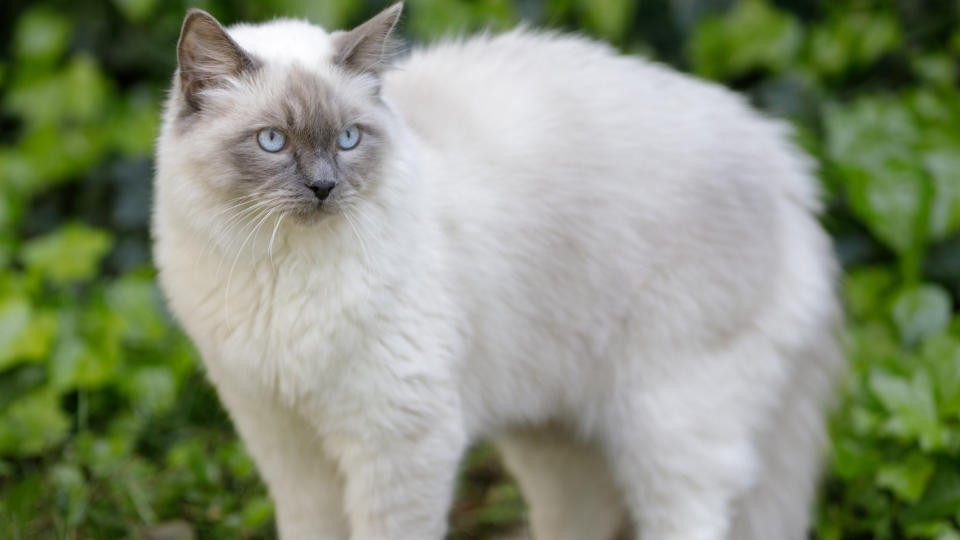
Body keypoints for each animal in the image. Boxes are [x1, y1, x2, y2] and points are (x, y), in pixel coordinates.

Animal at [154, 4, 844, 540]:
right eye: (272, 141)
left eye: (349, 138)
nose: (324, 188)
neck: (282, 270)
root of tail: (790, 166)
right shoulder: (286, 444)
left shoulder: (398, 441)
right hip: (555, 437)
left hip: (666, 425)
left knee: (691, 515)